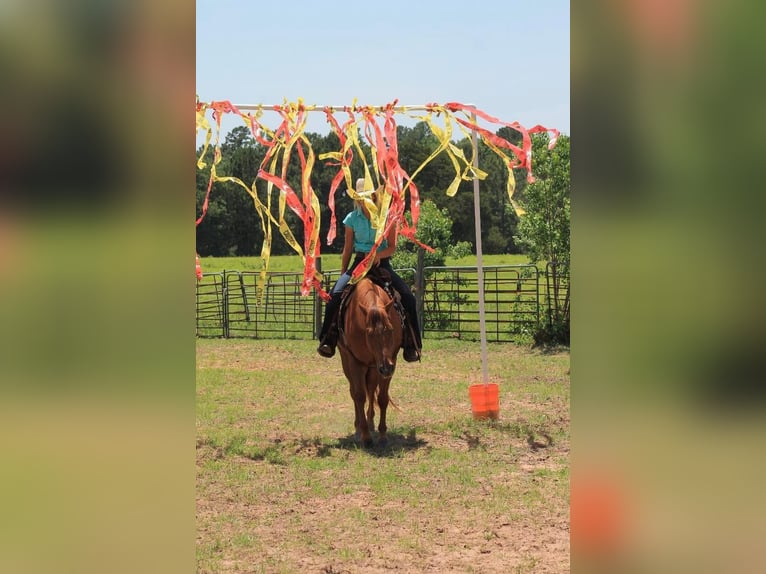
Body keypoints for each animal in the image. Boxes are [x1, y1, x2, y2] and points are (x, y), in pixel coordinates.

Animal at [340, 272, 404, 450]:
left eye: (390, 329)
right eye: (369, 333)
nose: (386, 368)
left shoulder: (390, 361)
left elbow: (382, 398)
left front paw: (382, 436)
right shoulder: (356, 362)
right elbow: (359, 395)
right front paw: (366, 436)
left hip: (374, 369)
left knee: (370, 389)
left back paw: (370, 422)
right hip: (350, 363)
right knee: (355, 392)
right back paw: (359, 428)